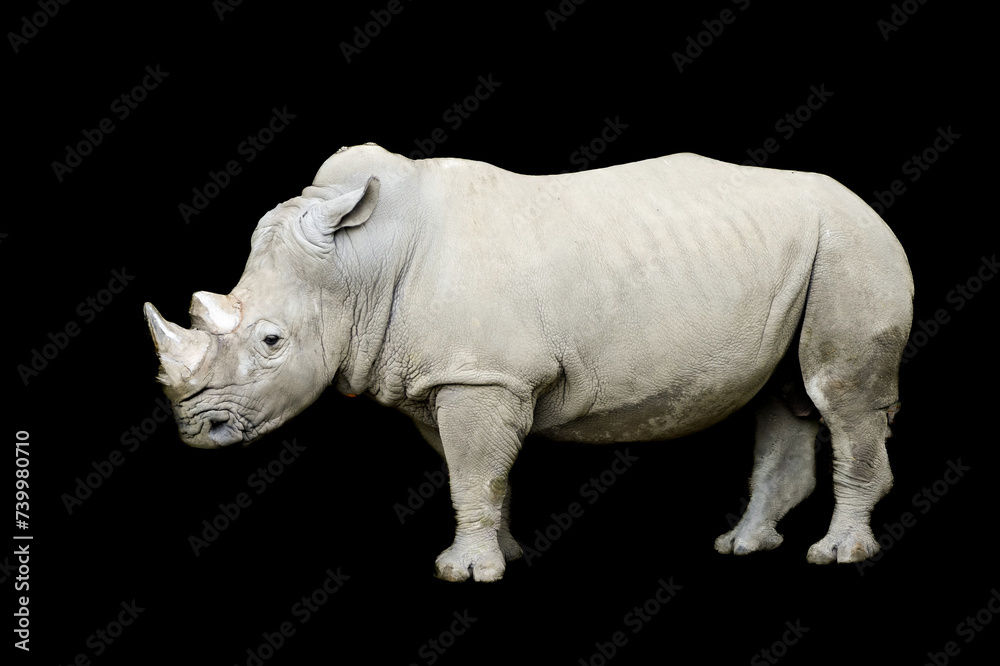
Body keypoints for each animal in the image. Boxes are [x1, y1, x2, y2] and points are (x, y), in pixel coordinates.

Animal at [144, 143, 913, 581]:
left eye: (271, 342)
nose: (197, 431)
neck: (359, 262)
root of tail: (871, 208)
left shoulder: (480, 374)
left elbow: (473, 472)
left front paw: (465, 573)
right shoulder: (449, 376)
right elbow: (480, 475)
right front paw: (503, 557)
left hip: (851, 245)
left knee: (838, 394)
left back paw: (836, 557)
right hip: (816, 250)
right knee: (784, 396)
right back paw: (743, 547)